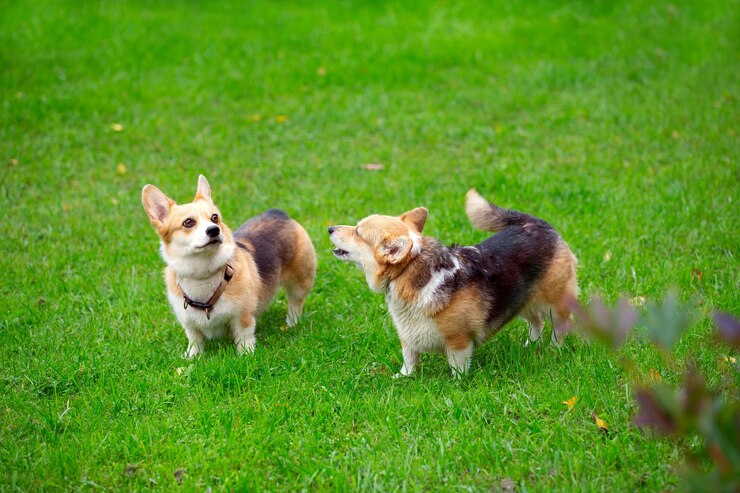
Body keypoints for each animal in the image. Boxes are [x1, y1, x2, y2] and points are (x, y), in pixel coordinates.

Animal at [142, 175, 316, 356]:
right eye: (188, 222)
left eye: (214, 217)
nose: (214, 230)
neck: (203, 274)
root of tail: (279, 213)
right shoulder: (189, 324)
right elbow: (195, 340)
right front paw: (192, 357)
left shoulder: (242, 318)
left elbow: (244, 338)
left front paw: (246, 355)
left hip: (300, 282)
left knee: (295, 302)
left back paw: (291, 323)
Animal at [330, 189, 580, 376]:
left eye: (358, 232)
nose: (330, 228)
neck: (410, 272)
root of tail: (537, 223)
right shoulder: (408, 337)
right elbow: (409, 359)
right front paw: (403, 377)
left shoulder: (458, 341)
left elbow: (457, 367)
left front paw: (457, 383)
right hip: (521, 298)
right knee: (536, 321)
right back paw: (530, 345)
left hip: (554, 301)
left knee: (560, 325)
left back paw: (554, 348)